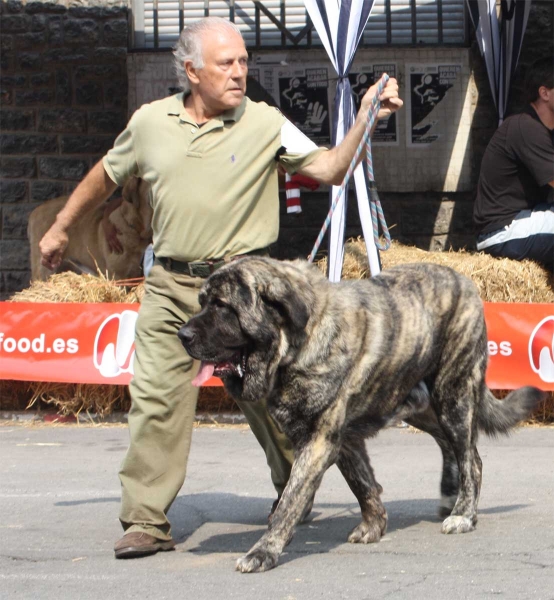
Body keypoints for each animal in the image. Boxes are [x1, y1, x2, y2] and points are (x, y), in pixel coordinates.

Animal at [178, 256, 544, 572]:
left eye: (221, 306)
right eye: (202, 302)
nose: (182, 334)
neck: (296, 344)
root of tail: (464, 280)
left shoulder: (319, 441)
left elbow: (289, 501)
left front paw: (263, 552)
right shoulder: (344, 439)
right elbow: (363, 484)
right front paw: (374, 525)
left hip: (453, 394)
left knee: (471, 457)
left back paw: (464, 513)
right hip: (416, 402)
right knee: (448, 444)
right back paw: (449, 493)